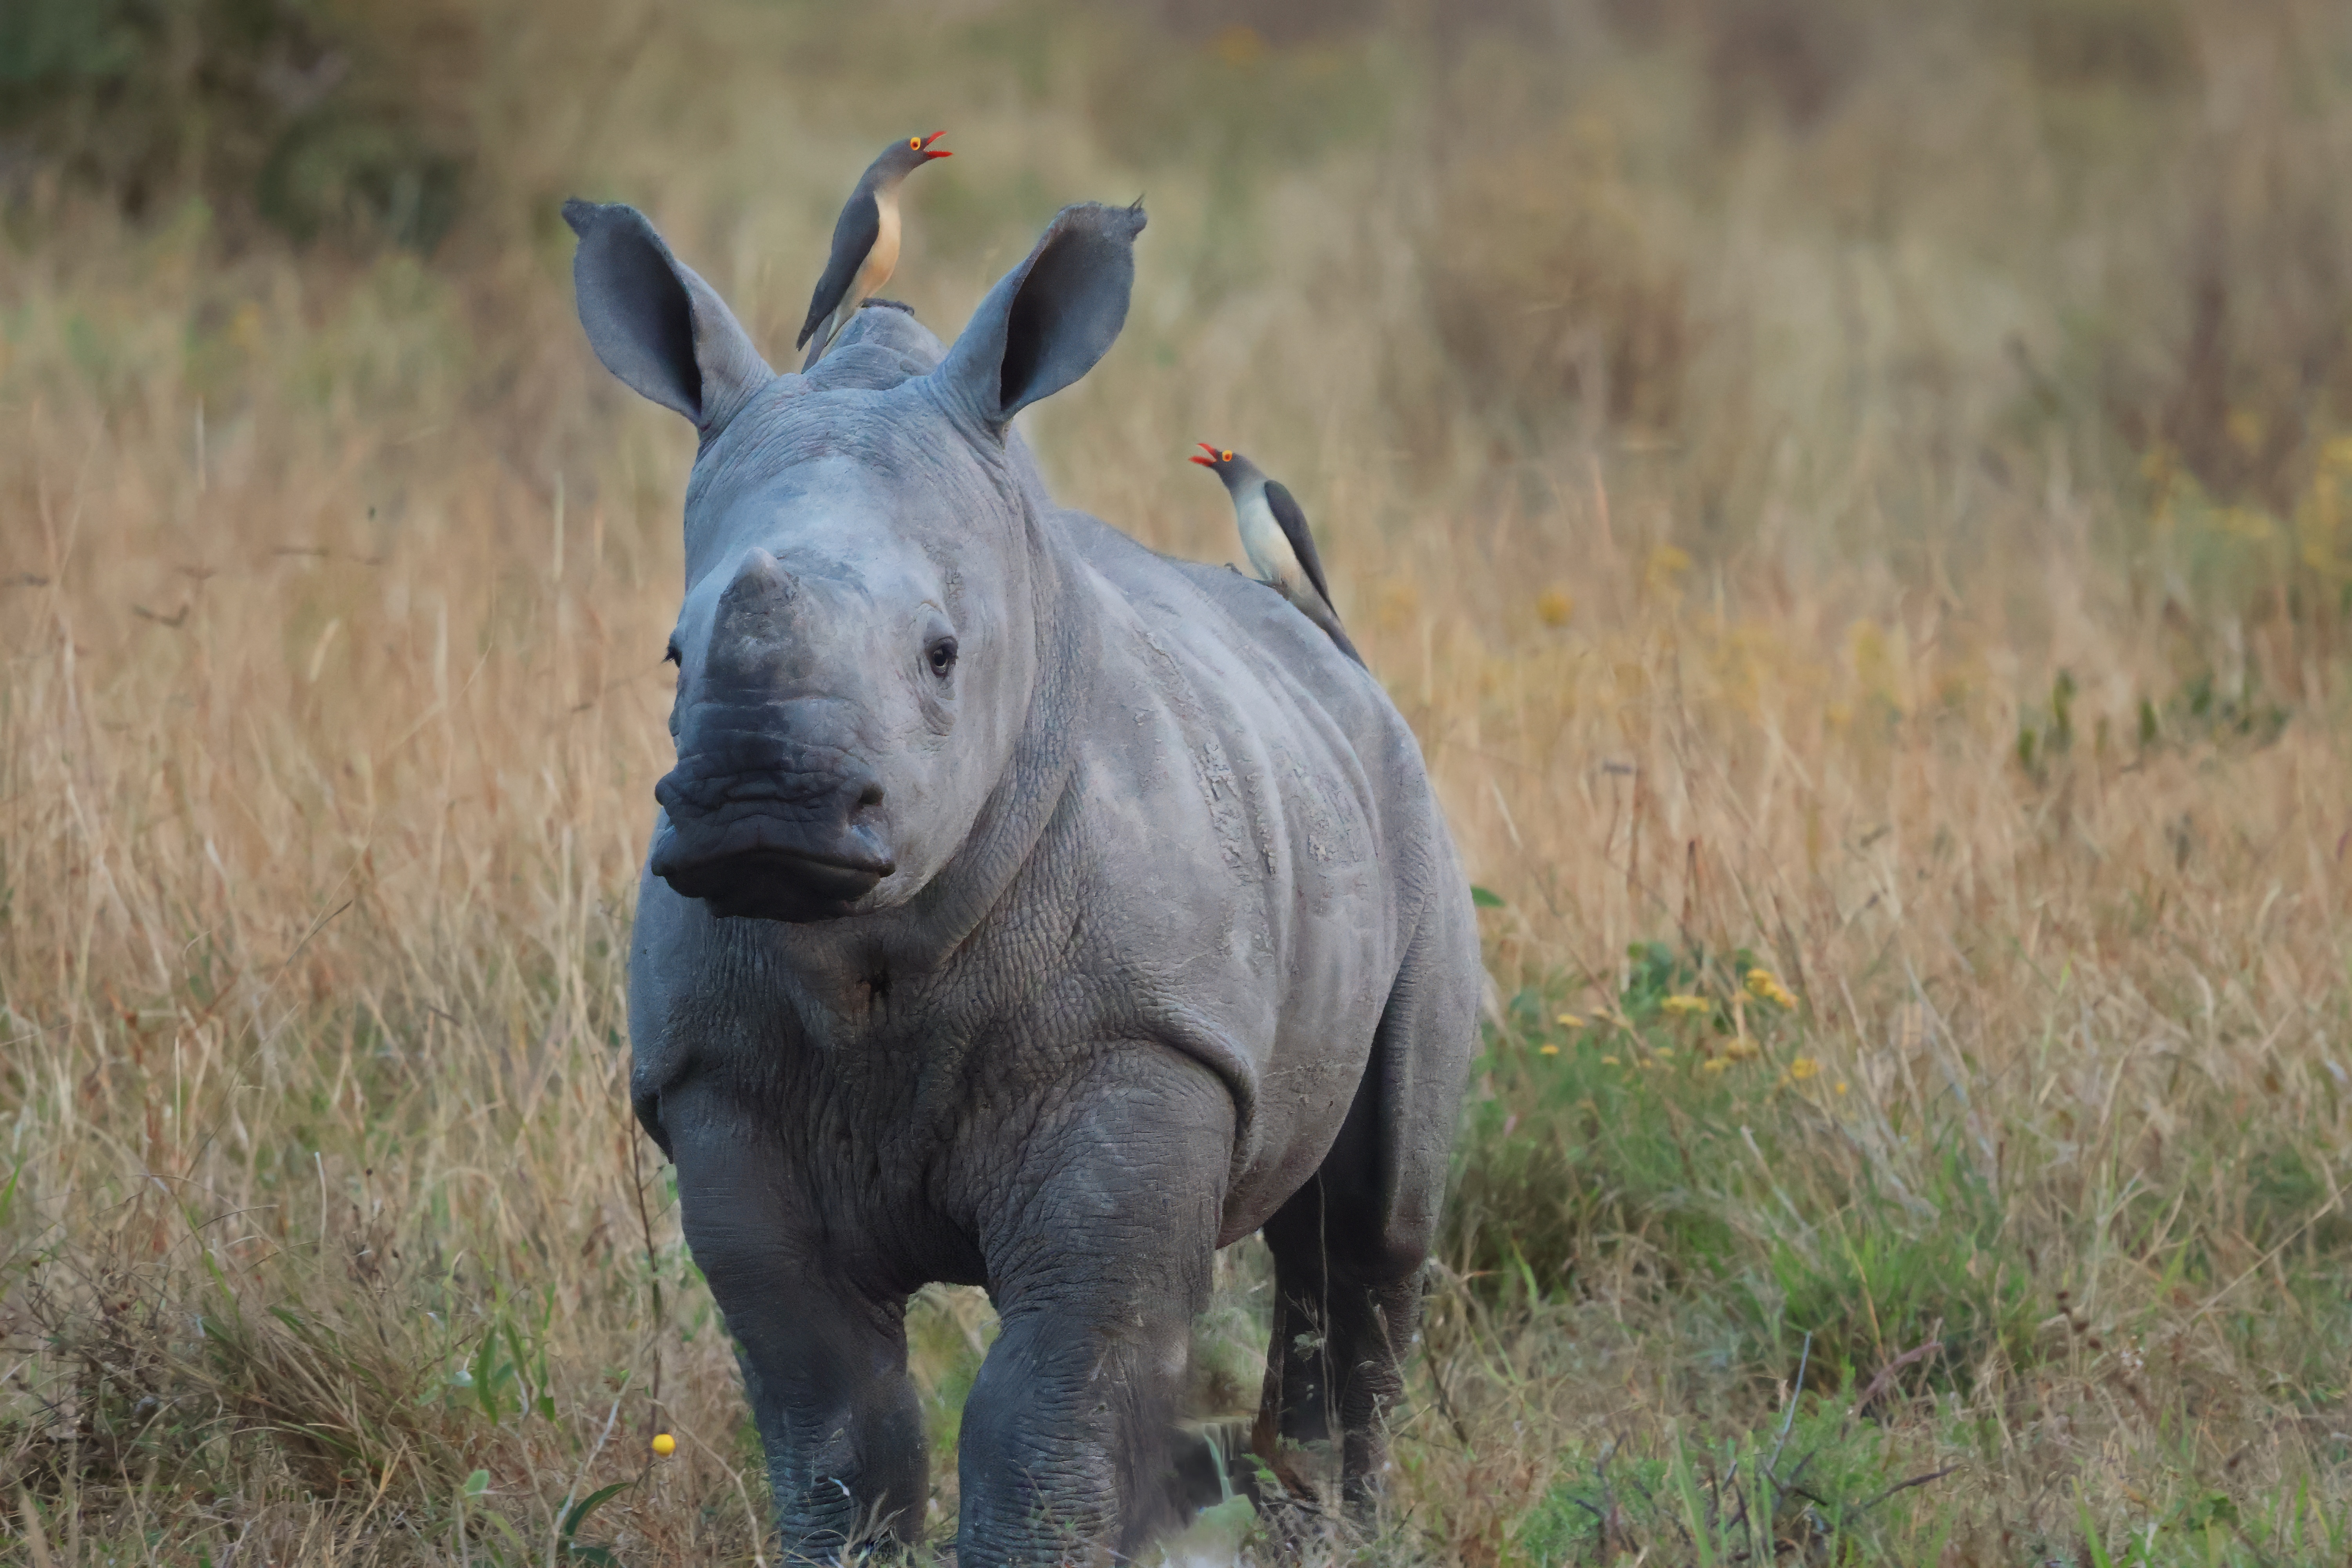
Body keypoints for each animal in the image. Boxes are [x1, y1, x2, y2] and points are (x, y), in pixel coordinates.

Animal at [564, 195, 1480, 1564]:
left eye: (944, 655)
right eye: (674, 653)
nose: (761, 810)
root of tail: (1336, 666)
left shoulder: (1148, 1041)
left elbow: (1050, 1409)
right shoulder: (714, 1078)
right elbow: (833, 1418)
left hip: (1408, 805)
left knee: (1368, 1233)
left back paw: (1339, 1533)